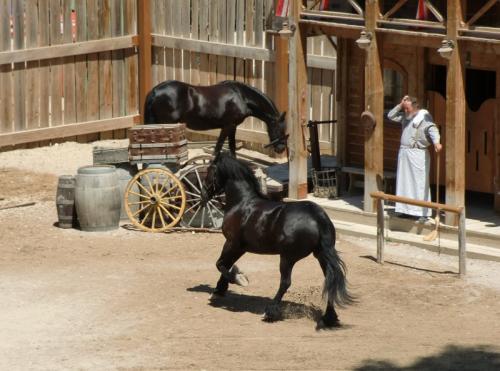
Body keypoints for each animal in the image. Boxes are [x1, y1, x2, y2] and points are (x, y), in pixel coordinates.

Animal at [143, 80, 288, 158]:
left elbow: (231, 148)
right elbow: (219, 148)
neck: (241, 97)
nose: (281, 149)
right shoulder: (228, 126)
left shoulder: (232, 127)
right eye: (279, 129)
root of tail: (155, 91)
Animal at [205, 154, 354, 328]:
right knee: (329, 279)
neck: (242, 203)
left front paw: (239, 279)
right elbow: (225, 265)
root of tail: (317, 216)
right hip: (321, 255)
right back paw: (329, 317)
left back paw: (270, 312)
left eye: (208, 171)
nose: (203, 195)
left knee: (285, 282)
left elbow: (220, 265)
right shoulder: (240, 247)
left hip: (287, 257)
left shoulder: (232, 243)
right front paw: (219, 290)